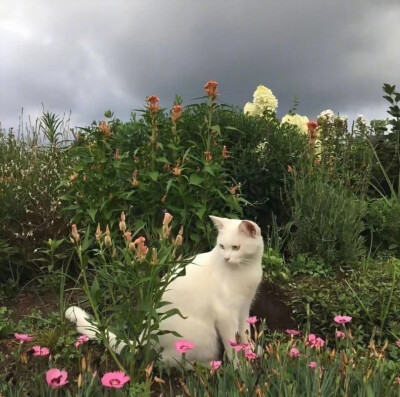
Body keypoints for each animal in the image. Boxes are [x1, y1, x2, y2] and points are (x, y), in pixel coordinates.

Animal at [66, 215, 262, 364]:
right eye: (222, 246)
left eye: (235, 247)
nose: (227, 258)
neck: (247, 269)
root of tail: (142, 339)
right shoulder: (224, 314)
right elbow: (232, 344)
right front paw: (239, 367)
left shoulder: (243, 308)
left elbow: (245, 332)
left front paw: (251, 351)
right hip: (203, 338)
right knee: (169, 361)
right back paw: (210, 367)